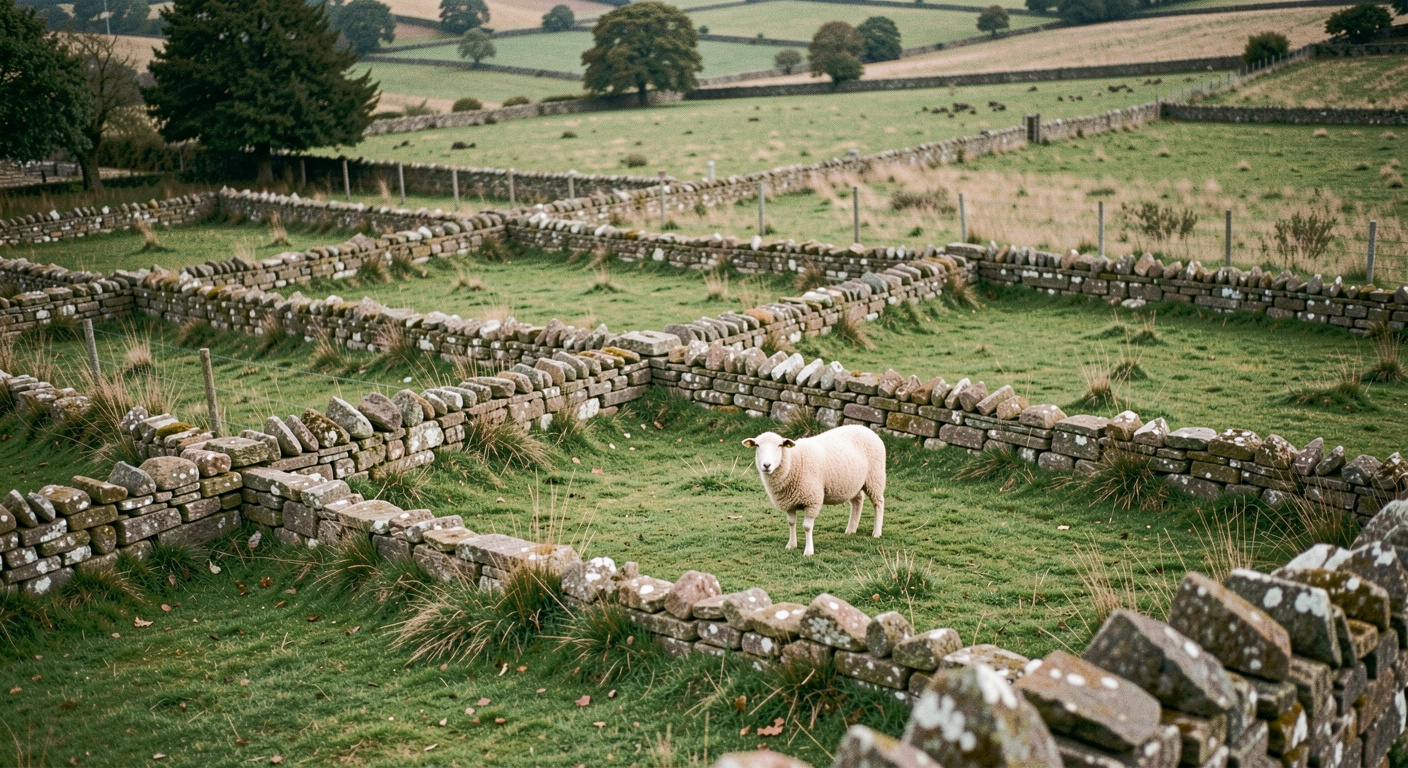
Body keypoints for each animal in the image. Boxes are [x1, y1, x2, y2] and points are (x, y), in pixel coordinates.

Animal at [742, 425, 886, 556]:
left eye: (779, 445)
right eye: (757, 445)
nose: (766, 465)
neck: (794, 462)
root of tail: (866, 429)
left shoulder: (812, 501)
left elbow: (807, 527)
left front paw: (808, 551)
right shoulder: (788, 502)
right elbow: (791, 523)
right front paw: (791, 545)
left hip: (875, 477)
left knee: (878, 503)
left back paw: (877, 532)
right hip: (853, 482)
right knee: (858, 501)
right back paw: (851, 529)